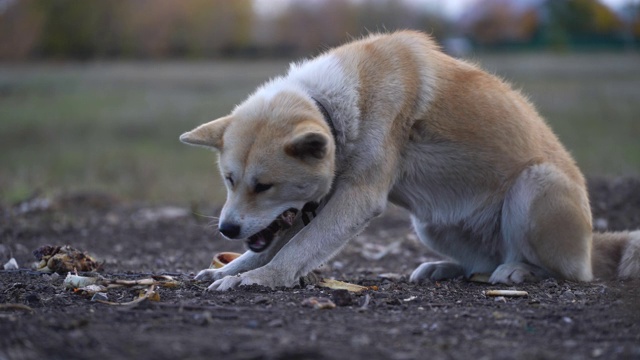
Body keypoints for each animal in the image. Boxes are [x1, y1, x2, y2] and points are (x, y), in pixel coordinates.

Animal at [180, 30, 640, 290]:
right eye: (229, 180)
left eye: (263, 185)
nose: (226, 229)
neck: (337, 104)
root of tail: (591, 241)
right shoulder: (313, 206)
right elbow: (277, 246)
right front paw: (228, 271)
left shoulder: (355, 199)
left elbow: (298, 249)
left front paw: (258, 280)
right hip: (430, 222)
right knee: (483, 263)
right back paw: (446, 269)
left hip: (536, 184)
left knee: (570, 273)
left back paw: (519, 272)